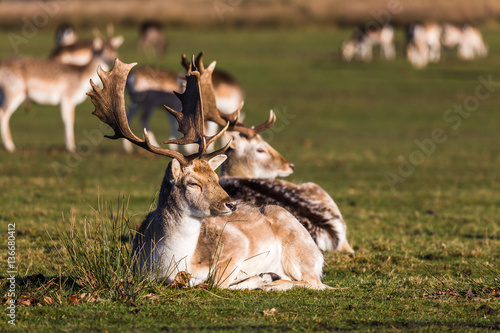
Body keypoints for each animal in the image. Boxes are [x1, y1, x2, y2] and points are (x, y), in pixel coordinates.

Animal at [89, 58, 332, 290]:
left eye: (215, 178)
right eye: (193, 183)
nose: (231, 204)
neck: (168, 265)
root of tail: (320, 255)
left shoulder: (237, 243)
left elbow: (217, 282)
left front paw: (260, 277)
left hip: (299, 251)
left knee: (316, 283)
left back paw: (270, 280)